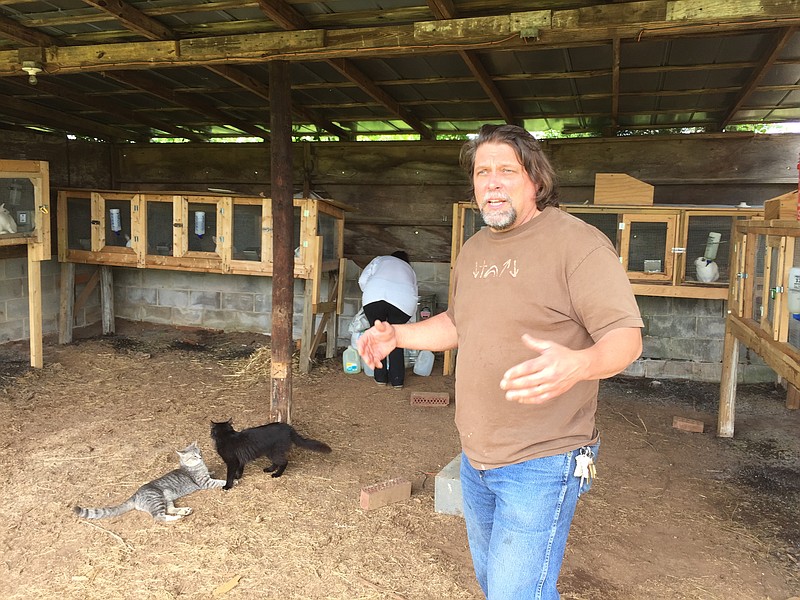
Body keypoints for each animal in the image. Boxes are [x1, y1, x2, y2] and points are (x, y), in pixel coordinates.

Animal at [72, 440, 225, 520]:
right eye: (193, 456)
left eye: (200, 452)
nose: (200, 457)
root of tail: (135, 495)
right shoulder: (204, 482)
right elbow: (219, 481)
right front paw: (227, 481)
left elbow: (212, 473)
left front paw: (212, 471)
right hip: (157, 499)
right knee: (160, 517)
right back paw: (178, 517)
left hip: (166, 498)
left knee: (170, 509)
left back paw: (184, 511)